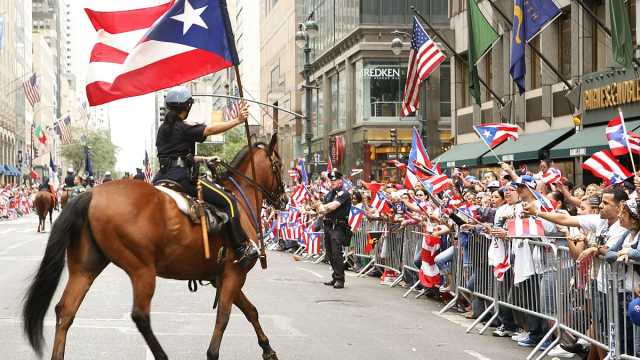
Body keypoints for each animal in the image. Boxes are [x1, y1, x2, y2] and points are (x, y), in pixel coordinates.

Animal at [22, 136, 286, 360]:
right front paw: (213, 353)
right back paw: (161, 355)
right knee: (140, 316)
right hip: (142, 270)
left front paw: (268, 349)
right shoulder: (234, 274)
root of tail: (91, 194)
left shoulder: (221, 277)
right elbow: (224, 317)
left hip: (85, 268)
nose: (283, 199)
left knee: (65, 311)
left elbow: (251, 311)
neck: (240, 200)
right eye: (278, 165)